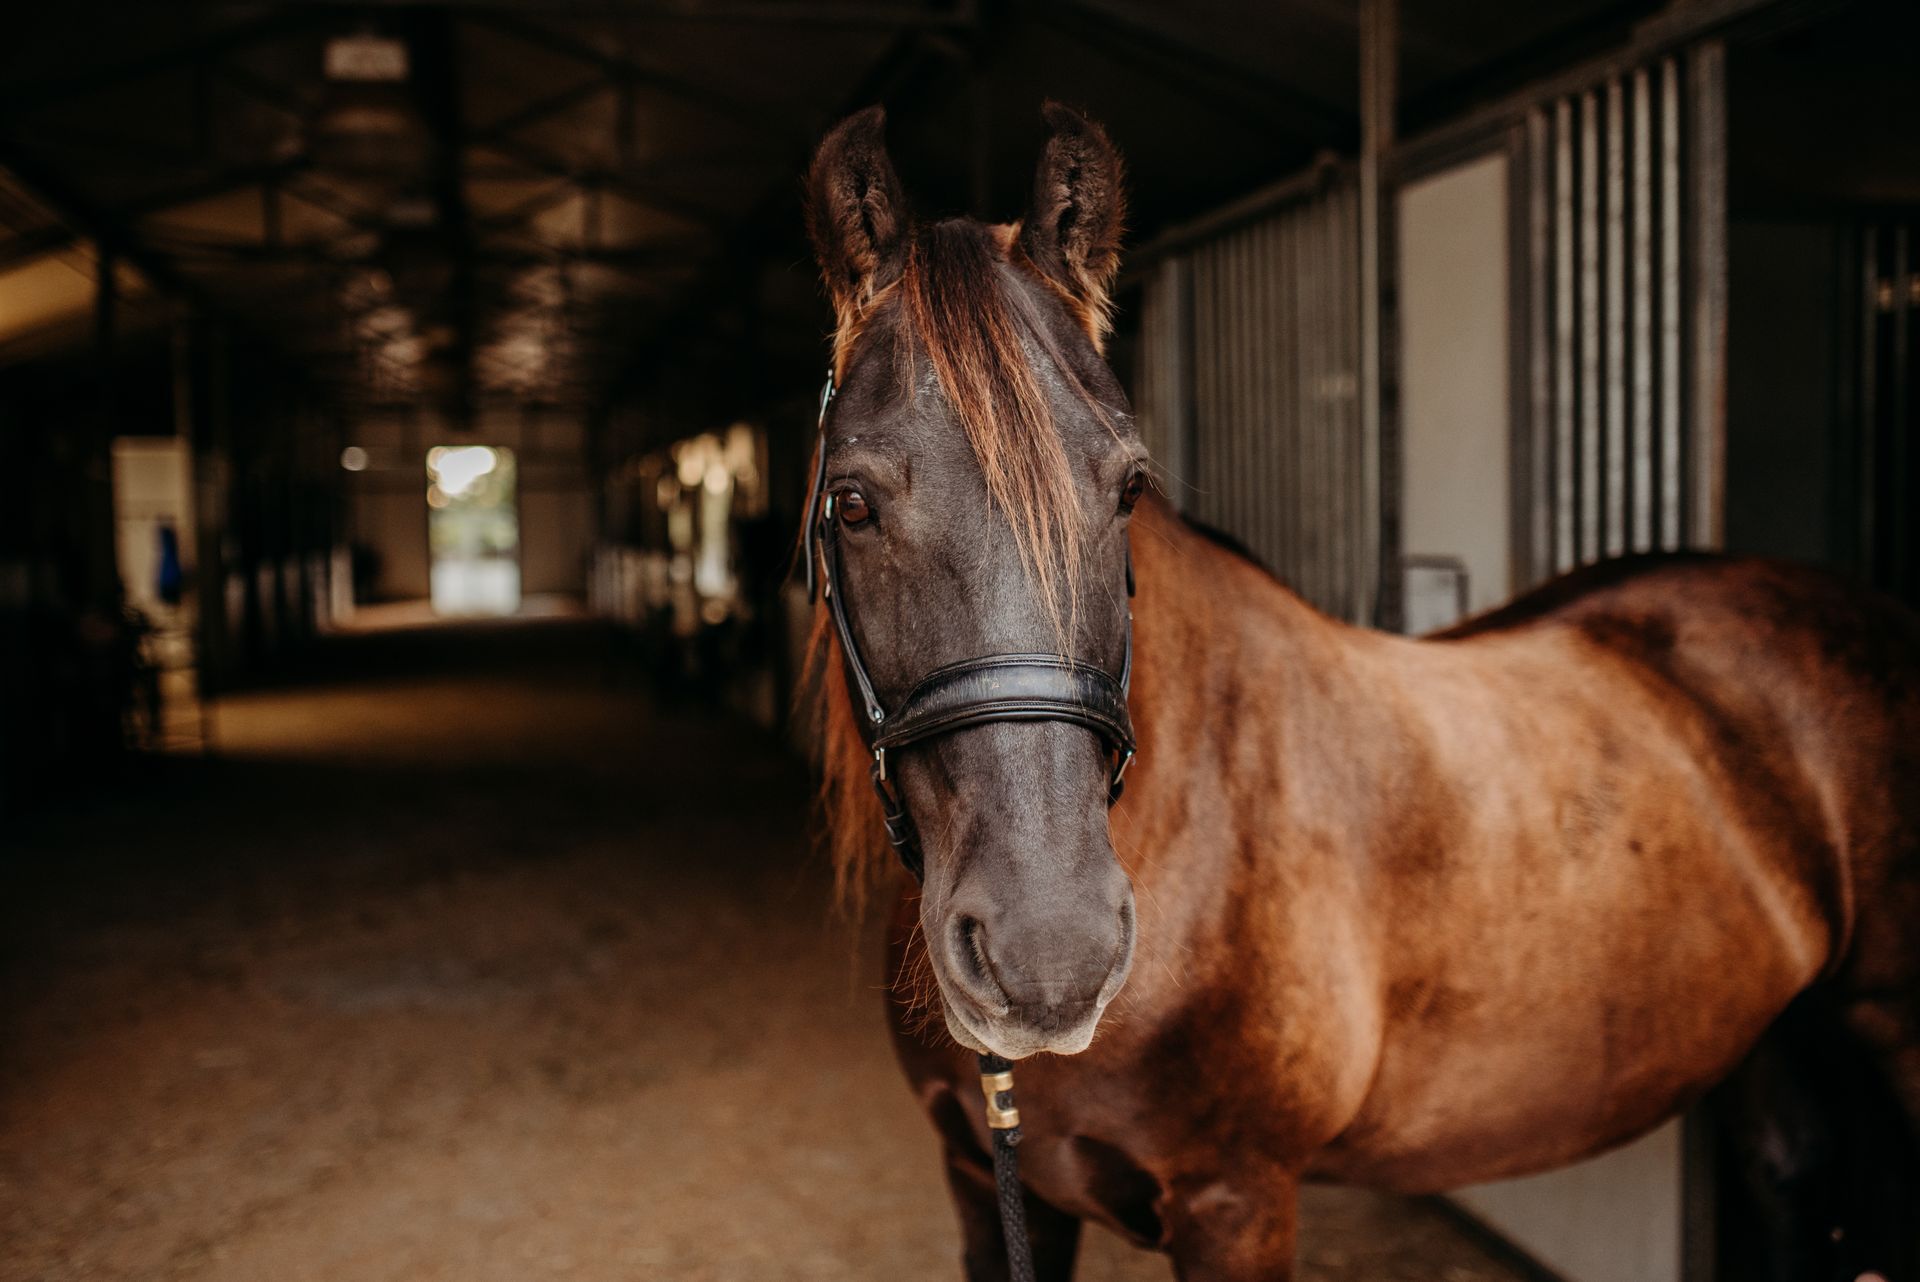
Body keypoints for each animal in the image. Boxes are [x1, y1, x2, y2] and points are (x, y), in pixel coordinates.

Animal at [802, 103, 1920, 1281]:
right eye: (854, 501)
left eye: (1129, 488)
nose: (1049, 957)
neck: (1192, 824)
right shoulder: (988, 1184)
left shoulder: (1236, 1203)